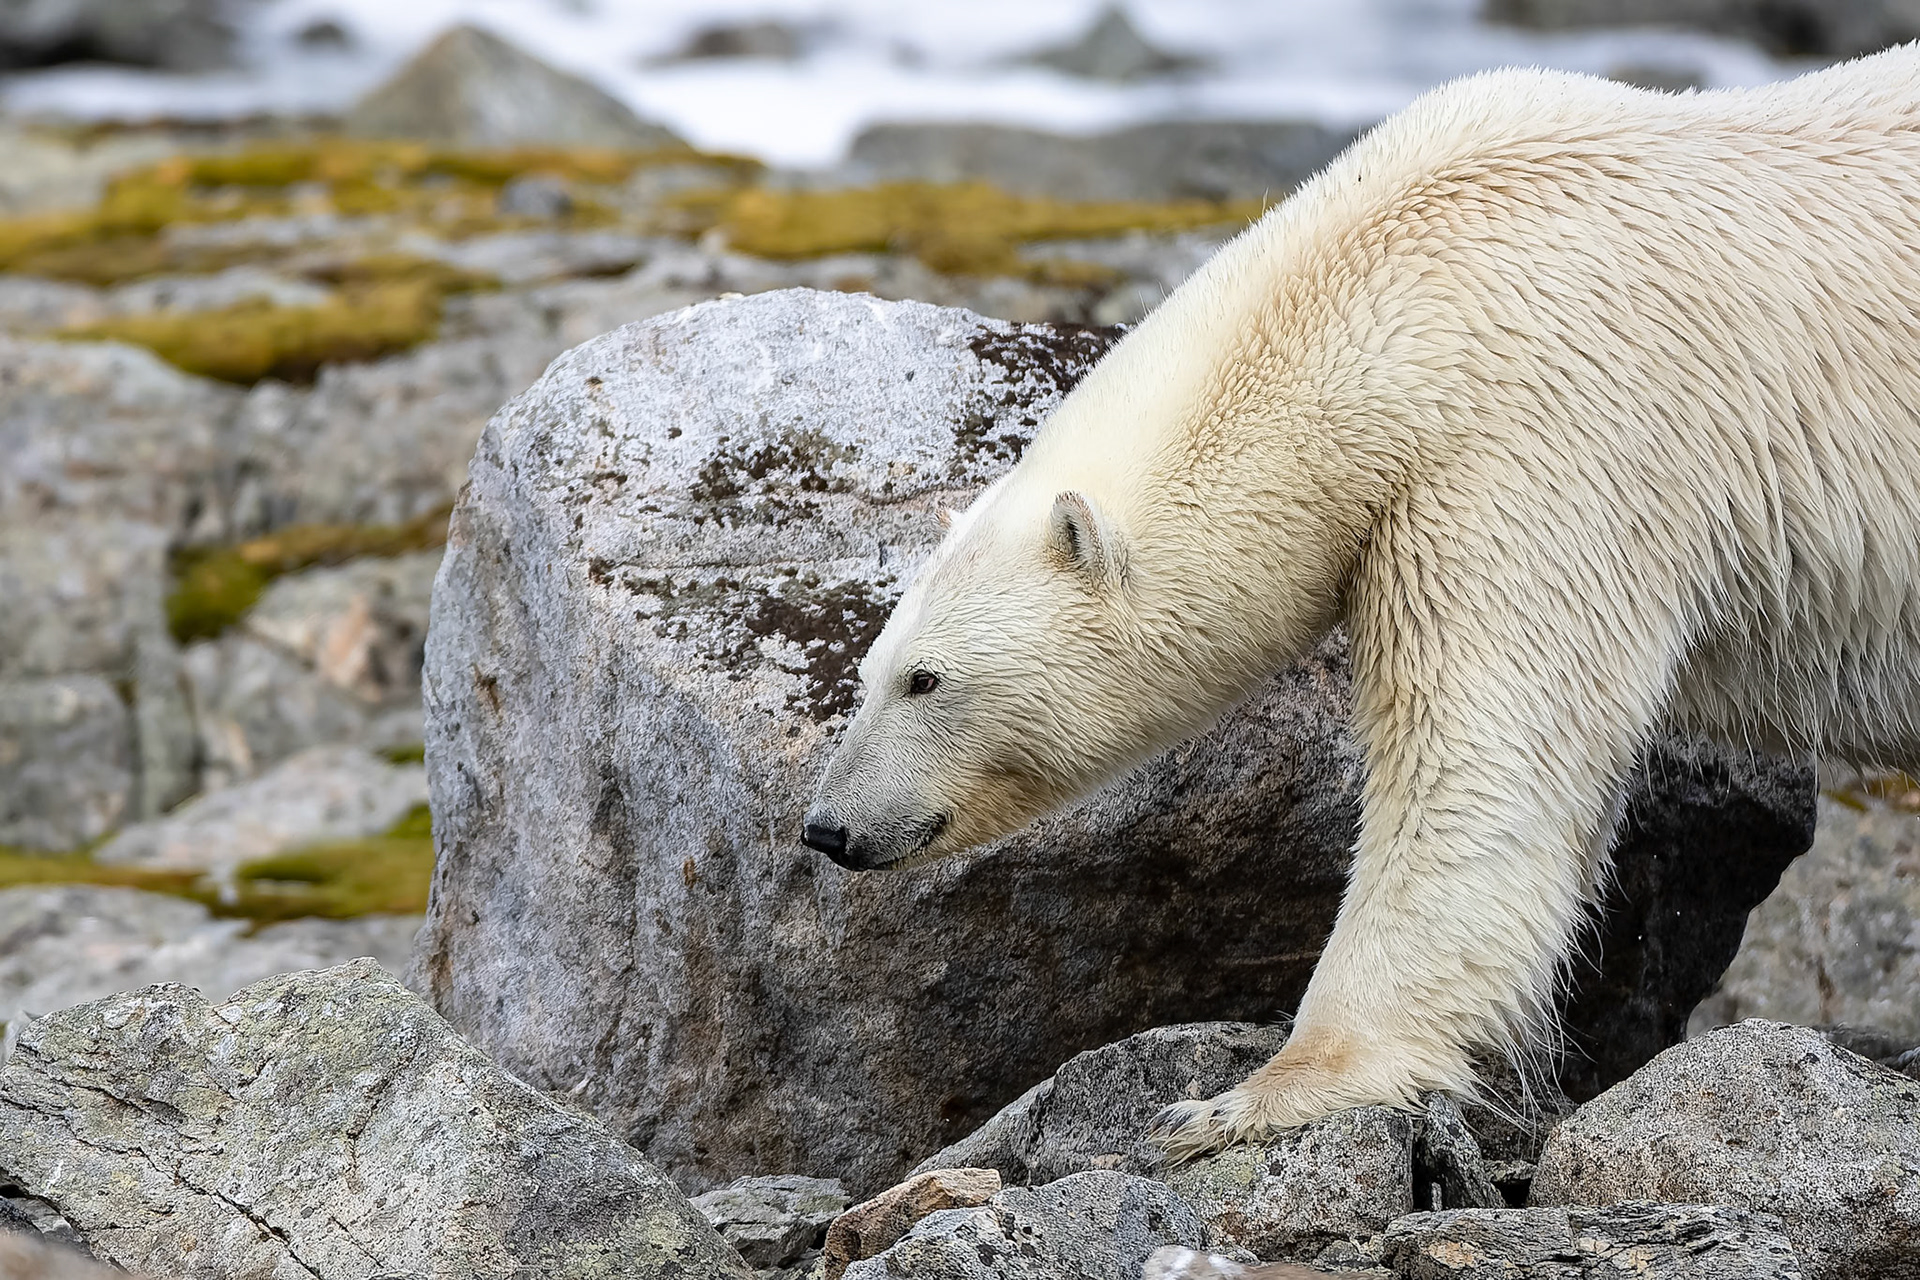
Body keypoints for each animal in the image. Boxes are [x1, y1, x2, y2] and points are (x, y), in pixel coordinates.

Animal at [803, 44, 1920, 1159]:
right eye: (864, 670)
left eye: (924, 678)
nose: (827, 827)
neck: (1388, 288)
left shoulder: (1537, 436)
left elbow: (1481, 755)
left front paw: (1238, 1100)